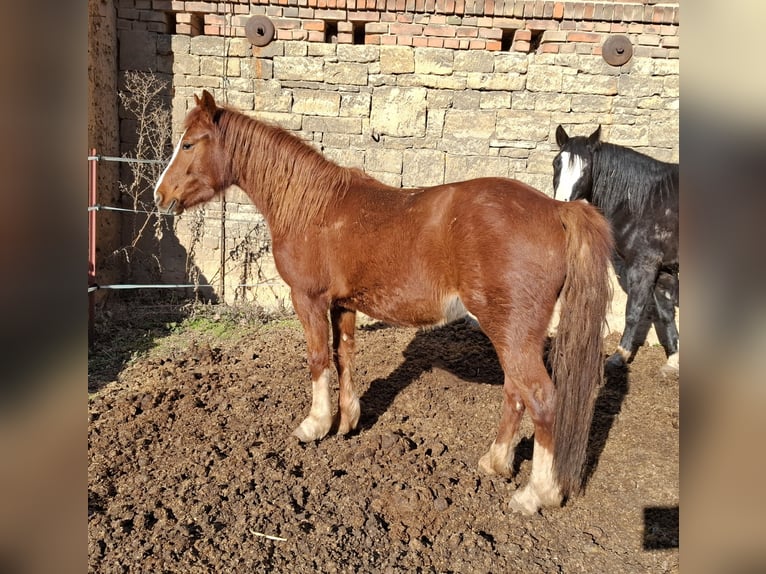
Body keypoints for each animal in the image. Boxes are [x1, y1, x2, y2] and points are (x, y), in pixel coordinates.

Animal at [153, 91, 616, 516]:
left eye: (189, 144)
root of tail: (558, 210)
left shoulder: (308, 299)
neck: (312, 207)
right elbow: (344, 357)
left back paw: (536, 494)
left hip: (512, 332)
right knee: (515, 392)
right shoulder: (343, 305)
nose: (159, 195)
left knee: (541, 399)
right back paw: (496, 462)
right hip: (513, 334)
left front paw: (314, 425)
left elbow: (318, 358)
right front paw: (347, 421)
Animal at [556, 125, 680, 374]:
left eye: (586, 168)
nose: (563, 207)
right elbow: (666, 312)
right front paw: (674, 360)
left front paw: (619, 356)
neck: (646, 200)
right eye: (557, 163)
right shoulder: (665, 269)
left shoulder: (644, 265)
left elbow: (633, 311)